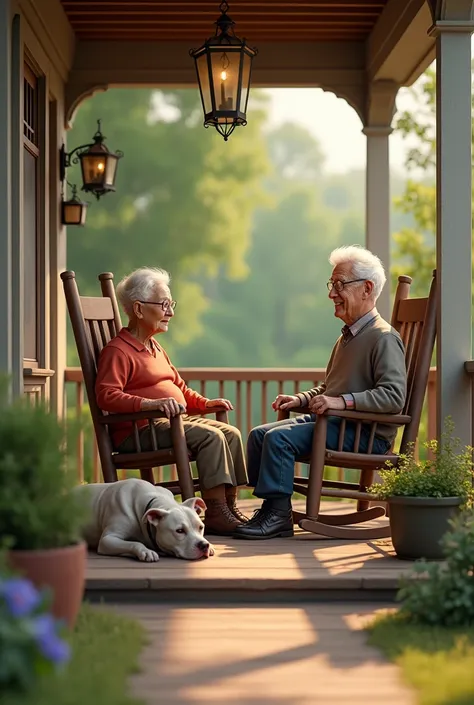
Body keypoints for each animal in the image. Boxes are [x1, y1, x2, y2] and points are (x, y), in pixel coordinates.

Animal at [75, 478, 215, 560]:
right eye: (179, 531)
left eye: (201, 527)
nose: (204, 545)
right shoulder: (107, 539)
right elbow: (134, 543)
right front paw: (146, 551)